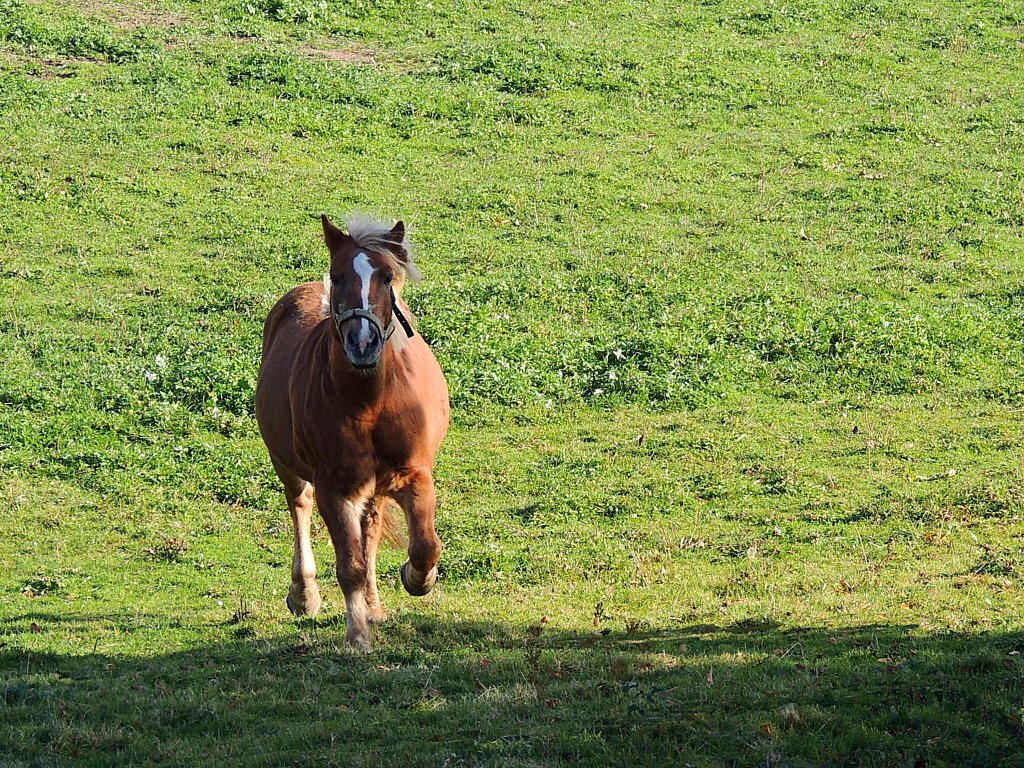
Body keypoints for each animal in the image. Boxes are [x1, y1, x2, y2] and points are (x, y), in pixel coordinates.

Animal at [253, 214, 450, 651]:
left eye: (388, 276)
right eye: (337, 276)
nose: (363, 343)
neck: (370, 401)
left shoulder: (414, 474)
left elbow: (425, 546)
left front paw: (415, 578)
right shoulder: (335, 487)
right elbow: (350, 565)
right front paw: (357, 635)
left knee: (371, 527)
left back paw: (375, 605)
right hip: (288, 465)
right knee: (300, 507)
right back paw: (304, 594)